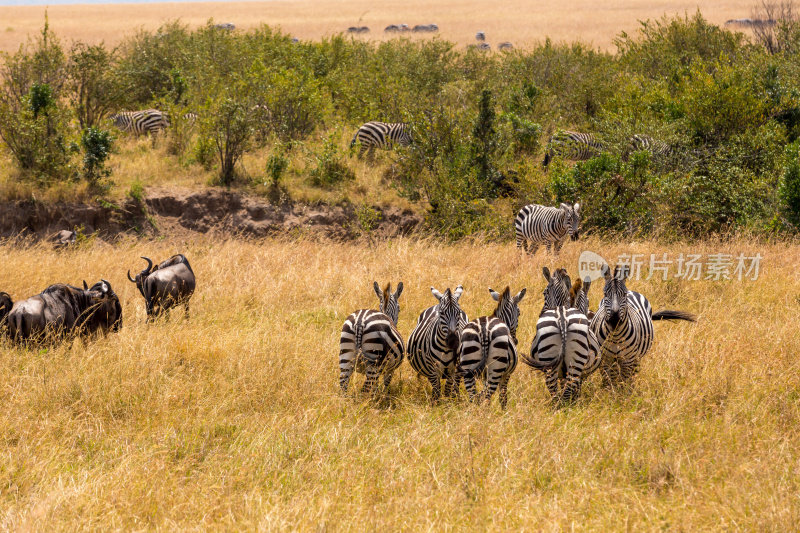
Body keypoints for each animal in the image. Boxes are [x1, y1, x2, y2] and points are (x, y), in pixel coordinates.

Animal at [524, 266, 600, 404]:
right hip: (572, 364)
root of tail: (562, 318)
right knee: (564, 394)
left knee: (557, 394)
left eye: (544, 293)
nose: (540, 313)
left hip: (550, 363)